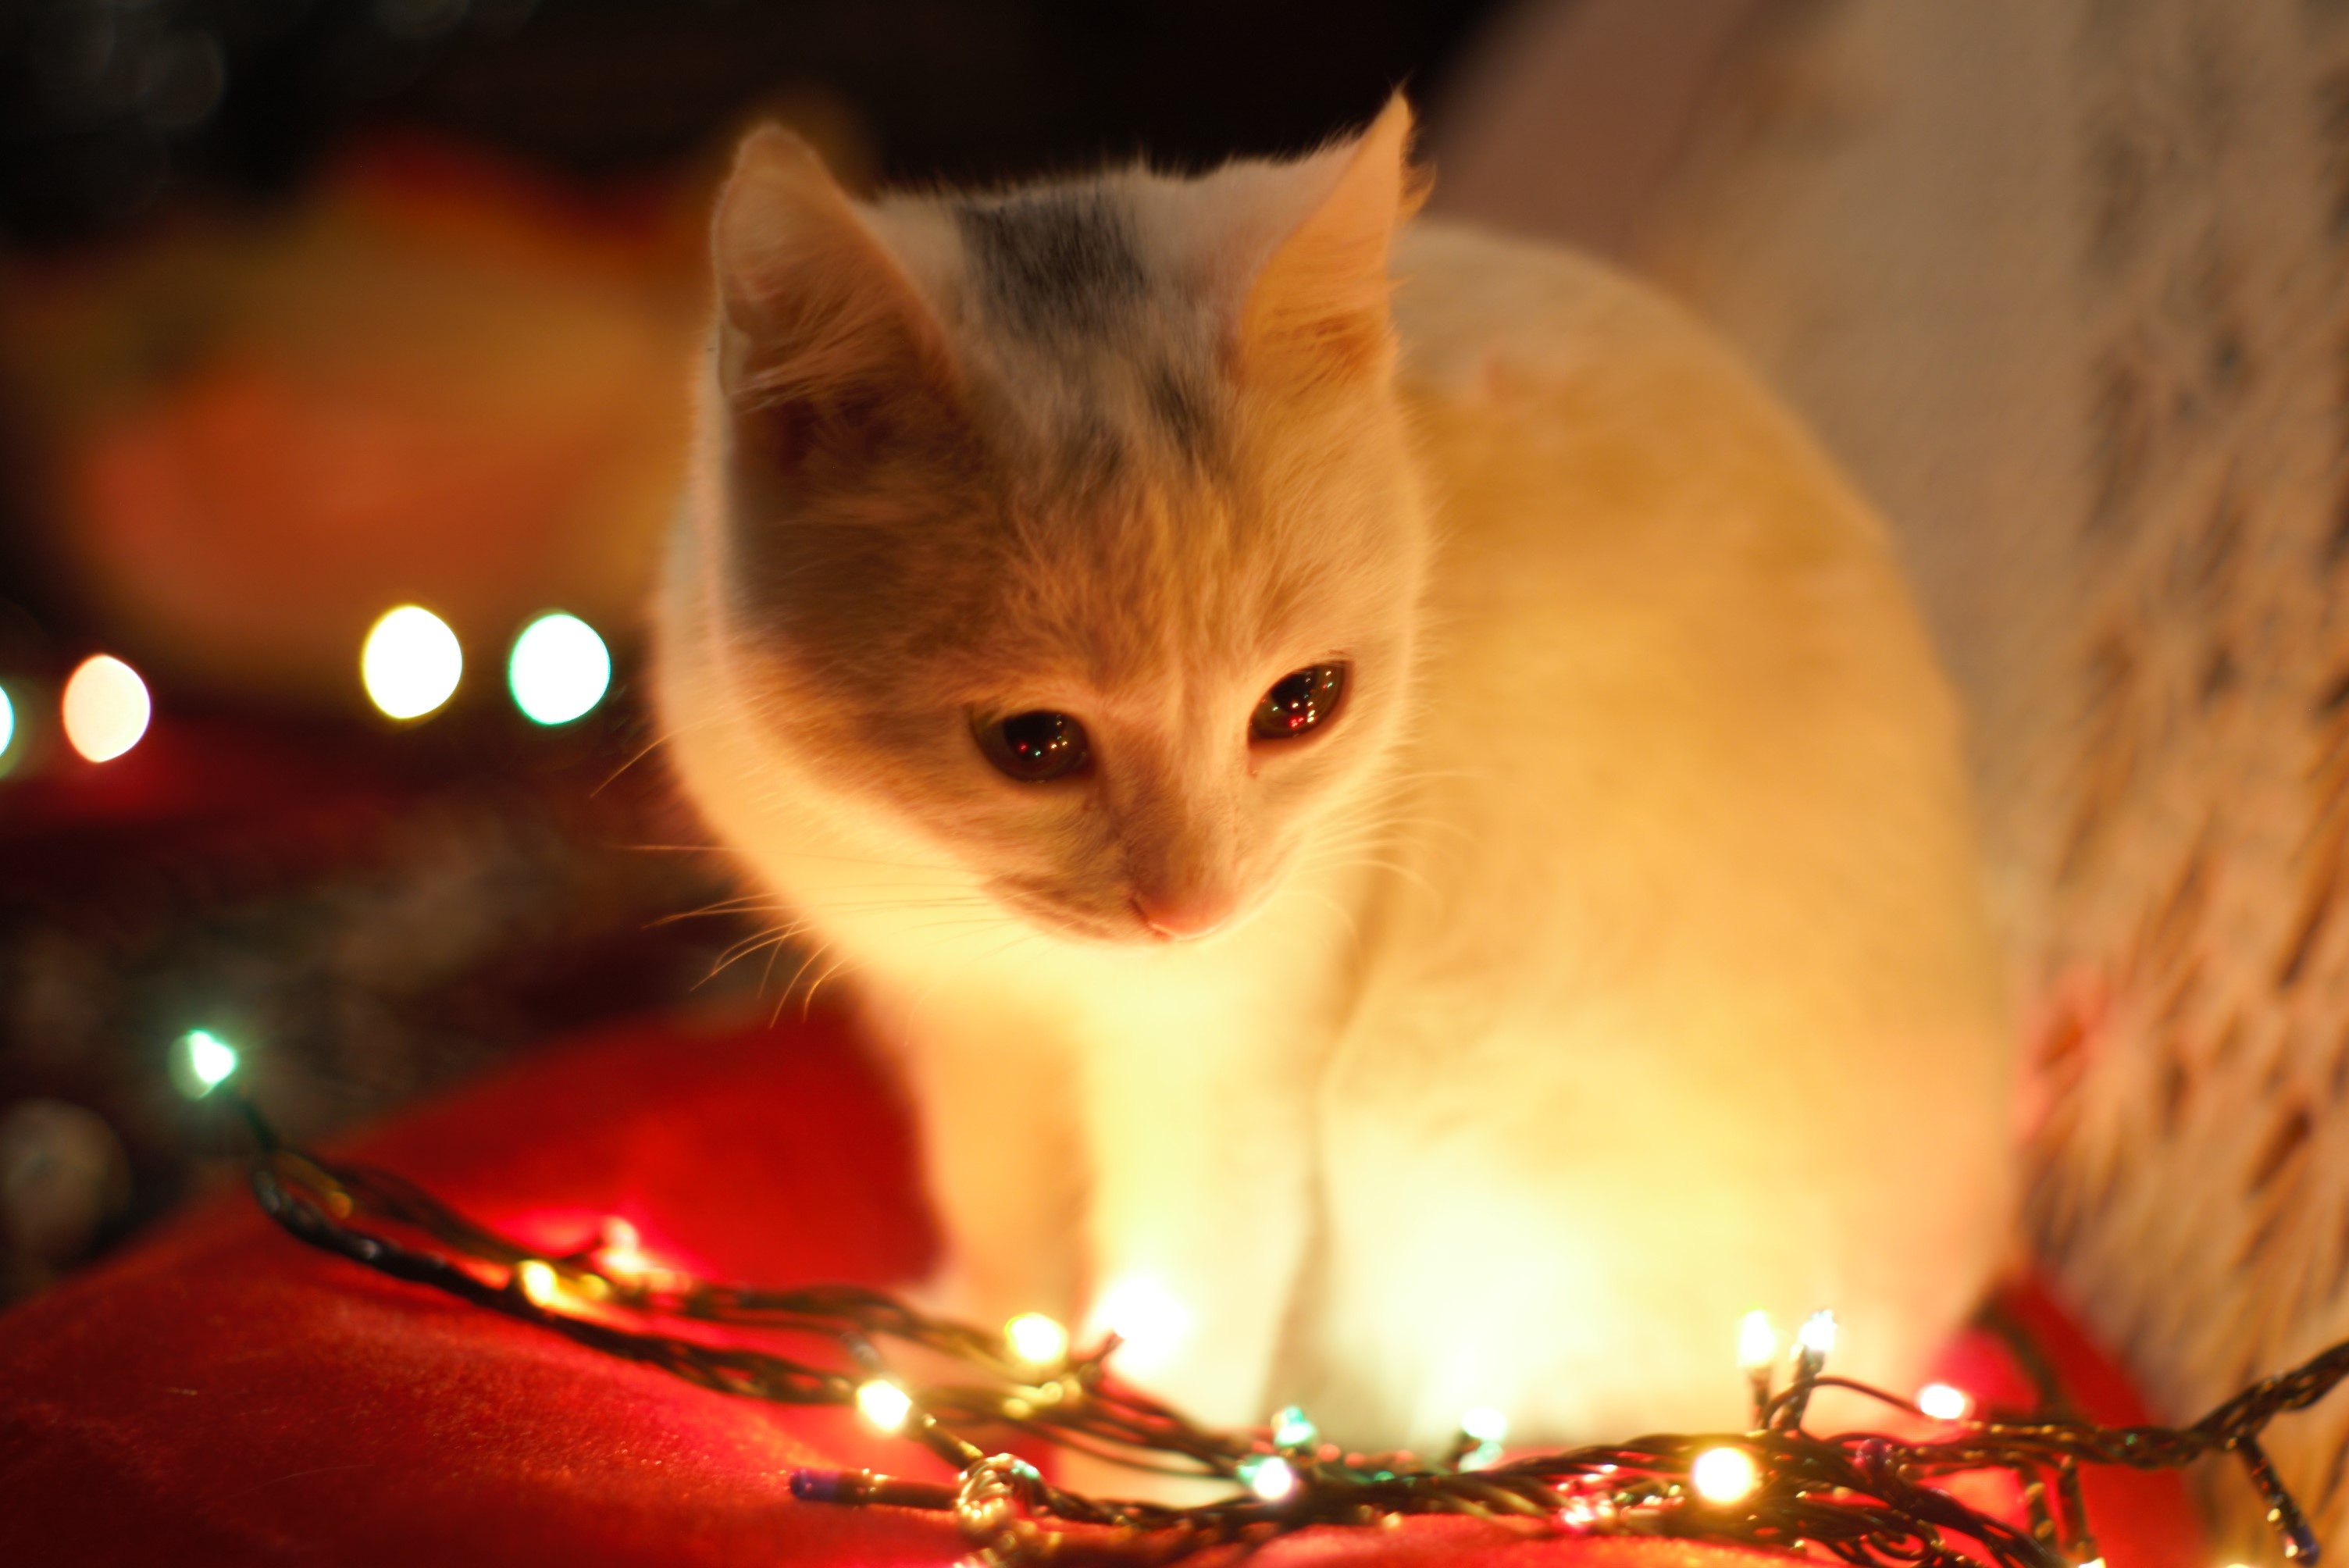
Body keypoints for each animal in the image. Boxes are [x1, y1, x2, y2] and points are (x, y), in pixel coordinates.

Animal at [653, 94, 2010, 1445]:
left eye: (1301, 705)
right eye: (1031, 742)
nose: (1190, 908)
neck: (1008, 951)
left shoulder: (1231, 1044)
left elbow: (1187, 1295)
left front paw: (1134, 1449)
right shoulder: (963, 1030)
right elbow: (997, 1206)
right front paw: (981, 1349)